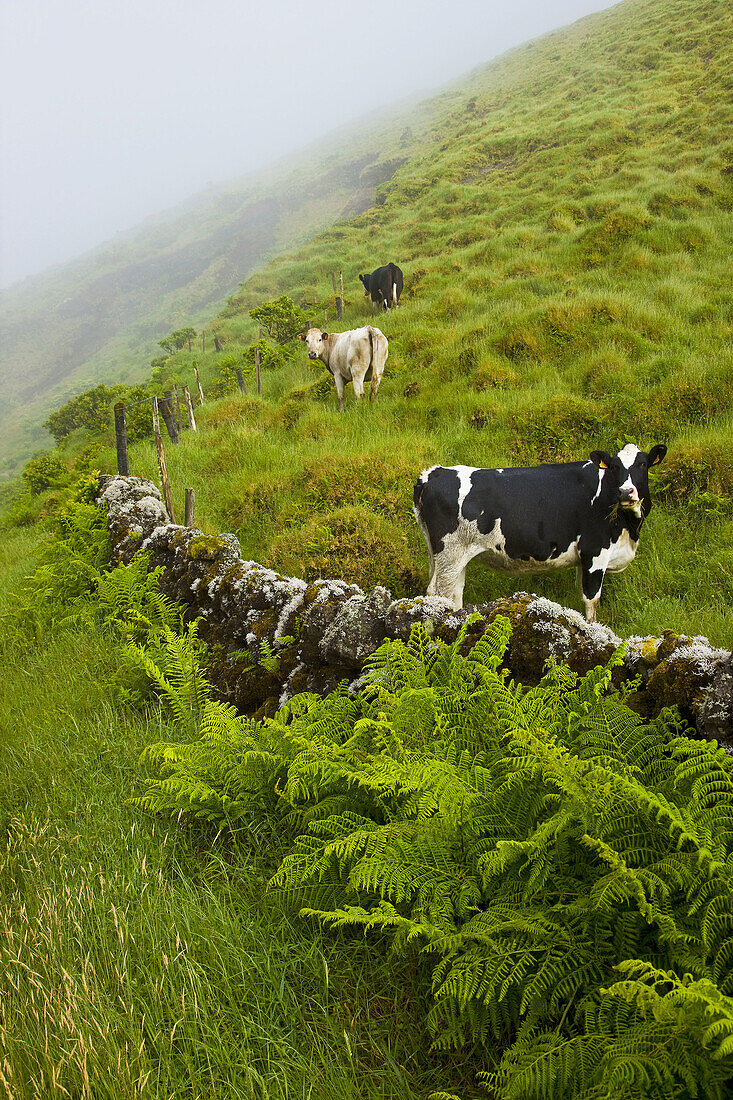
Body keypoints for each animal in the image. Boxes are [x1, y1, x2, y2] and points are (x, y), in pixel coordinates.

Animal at [413, 444, 664, 620]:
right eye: (614, 466)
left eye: (643, 465)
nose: (626, 492)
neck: (629, 530)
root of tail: (432, 474)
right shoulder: (595, 552)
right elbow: (591, 601)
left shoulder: (583, 559)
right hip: (450, 552)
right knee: (439, 593)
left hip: (449, 555)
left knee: (454, 593)